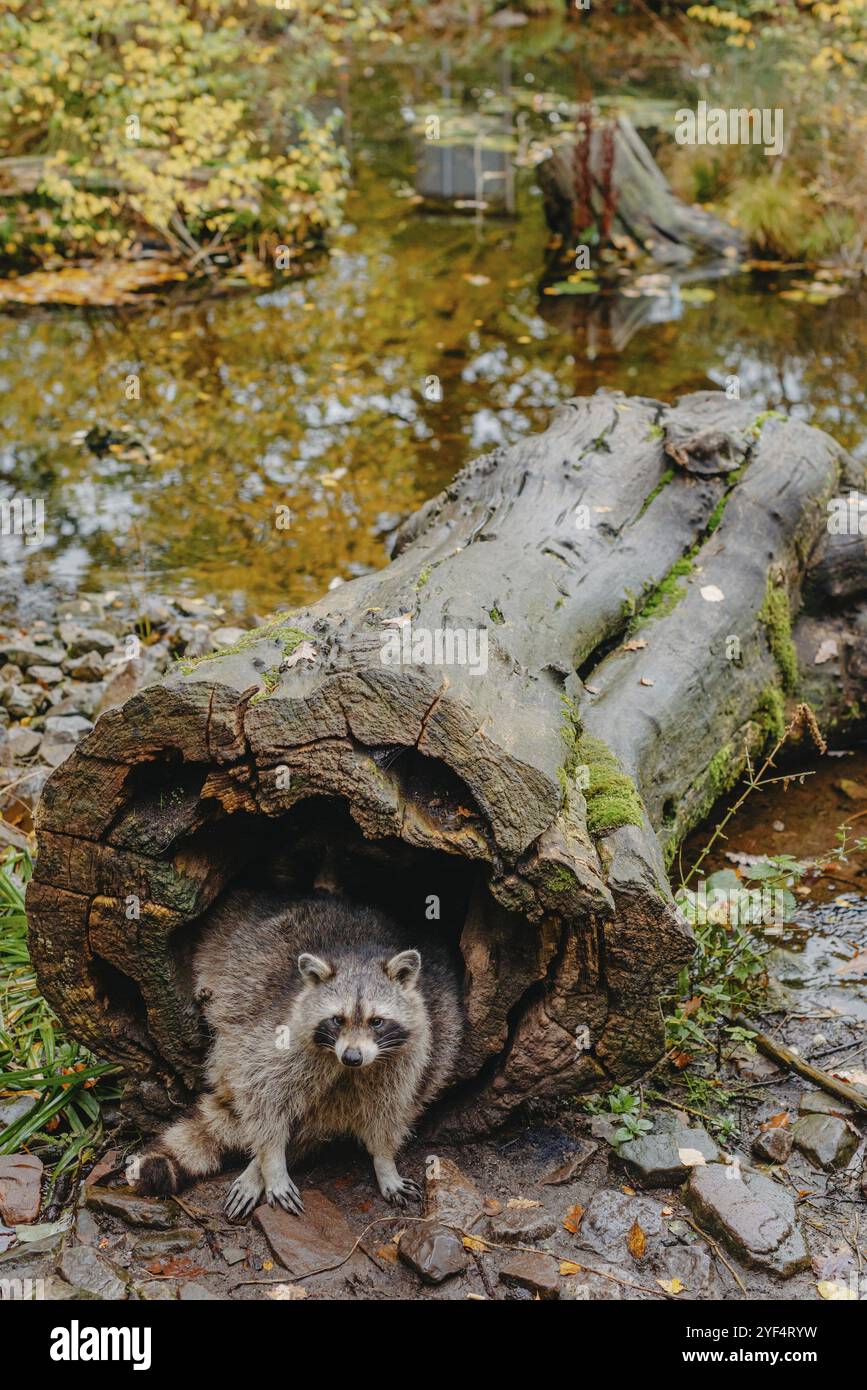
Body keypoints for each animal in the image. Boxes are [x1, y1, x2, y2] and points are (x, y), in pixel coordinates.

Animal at [129, 889, 464, 1217]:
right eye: (337, 1020)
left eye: (377, 1021)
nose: (352, 1057)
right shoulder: (277, 1036)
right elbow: (262, 1095)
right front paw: (271, 1163)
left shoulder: (409, 1057)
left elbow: (390, 1112)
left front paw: (384, 1161)